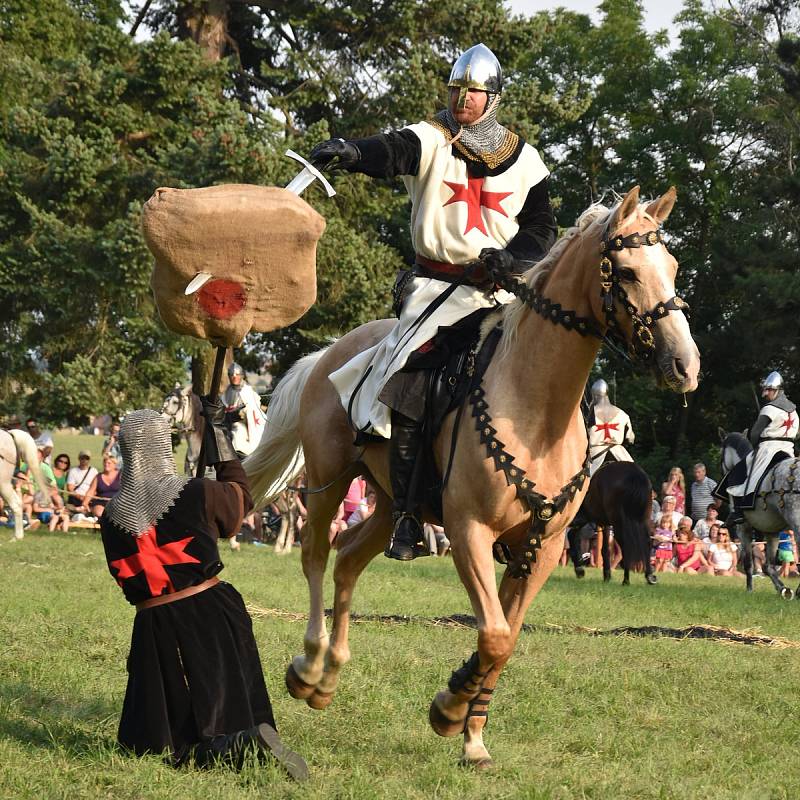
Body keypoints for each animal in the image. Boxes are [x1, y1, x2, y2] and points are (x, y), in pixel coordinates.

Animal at [245, 184, 700, 764]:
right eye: (625, 271)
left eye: (672, 266)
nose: (685, 365)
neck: (536, 411)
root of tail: (331, 352)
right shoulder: (469, 533)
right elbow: (496, 634)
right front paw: (451, 706)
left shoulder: (542, 547)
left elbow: (504, 638)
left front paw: (471, 731)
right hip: (330, 479)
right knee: (315, 554)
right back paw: (307, 666)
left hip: (391, 501)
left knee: (347, 558)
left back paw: (328, 678)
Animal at [720, 434, 796, 596]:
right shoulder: (771, 532)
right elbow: (769, 566)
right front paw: (782, 588)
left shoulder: (744, 530)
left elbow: (749, 563)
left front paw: (749, 589)